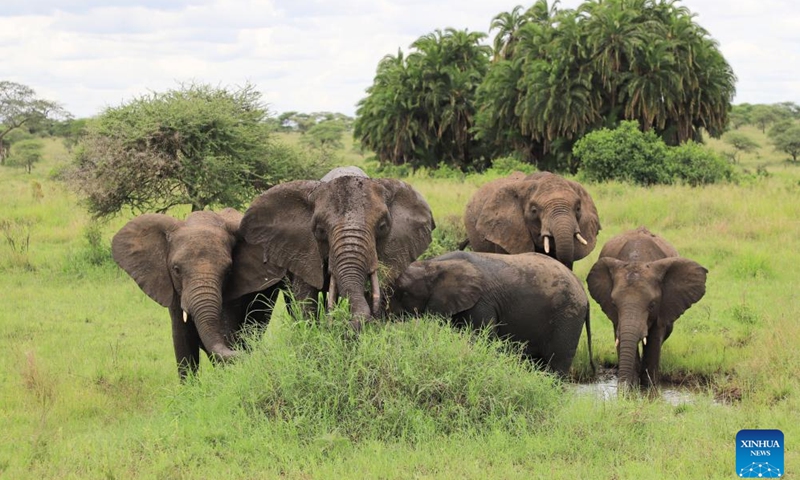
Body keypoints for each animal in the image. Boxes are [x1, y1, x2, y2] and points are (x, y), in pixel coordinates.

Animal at [387, 251, 593, 376]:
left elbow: (482, 340)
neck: (434, 264)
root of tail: (583, 291)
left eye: (402, 293)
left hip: (567, 316)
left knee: (556, 366)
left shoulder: (482, 303)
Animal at [586, 227, 708, 389]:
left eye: (652, 305)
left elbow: (655, 337)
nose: (621, 387)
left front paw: (648, 386)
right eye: (613, 304)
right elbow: (620, 335)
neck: (638, 259)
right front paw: (633, 386)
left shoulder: (663, 306)